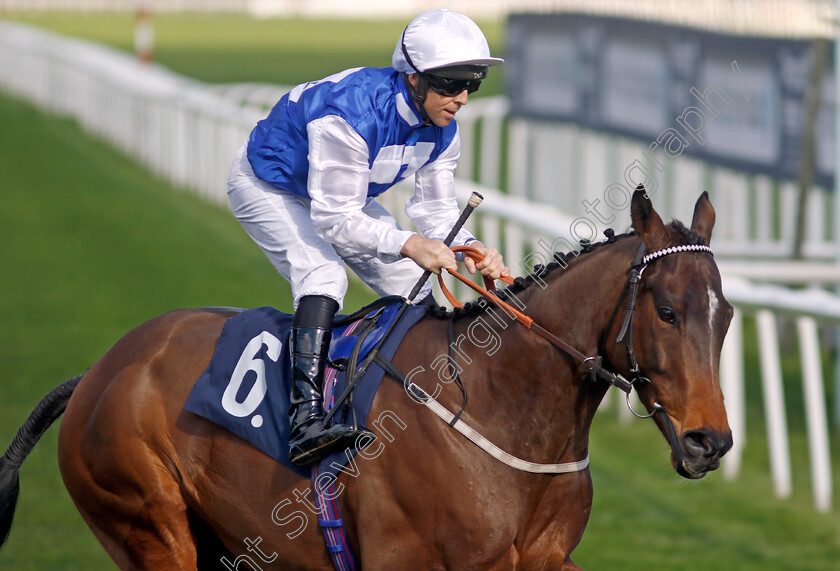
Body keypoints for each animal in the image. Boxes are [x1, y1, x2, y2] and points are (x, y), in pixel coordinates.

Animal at [0, 190, 728, 568]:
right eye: (667, 310)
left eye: (724, 316)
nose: (710, 442)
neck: (501, 406)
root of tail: (96, 371)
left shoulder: (542, 558)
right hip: (147, 522)